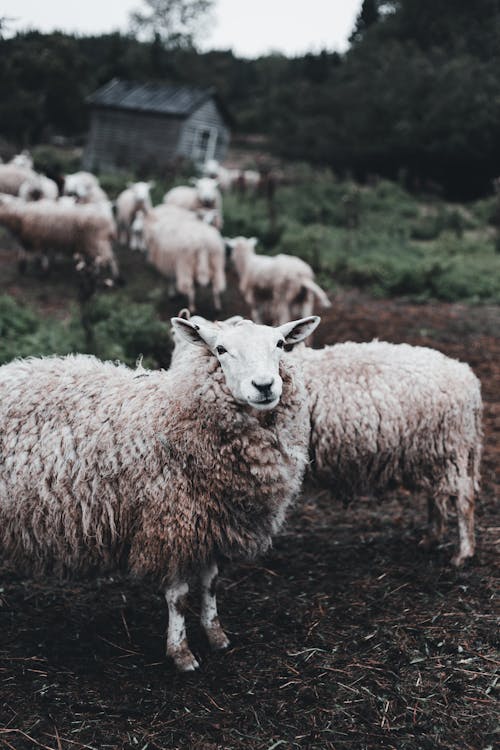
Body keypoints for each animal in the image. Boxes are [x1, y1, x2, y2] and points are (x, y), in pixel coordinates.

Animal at [0, 314, 320, 672]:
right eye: (221, 349)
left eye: (280, 344)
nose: (264, 386)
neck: (174, 411)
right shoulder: (171, 523)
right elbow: (178, 597)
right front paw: (181, 653)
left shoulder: (209, 521)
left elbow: (211, 584)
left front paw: (216, 636)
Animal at [292, 340, 484, 564]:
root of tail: (468, 378)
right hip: (433, 454)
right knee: (437, 495)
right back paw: (431, 539)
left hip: (450, 449)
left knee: (463, 498)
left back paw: (463, 552)